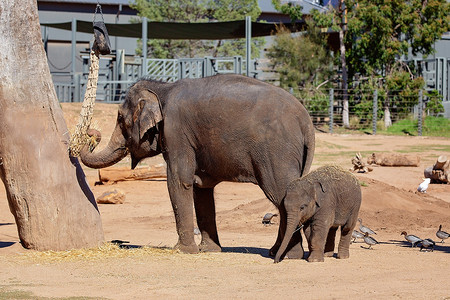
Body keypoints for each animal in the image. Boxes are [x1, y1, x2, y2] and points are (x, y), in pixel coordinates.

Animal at [80, 74, 312, 256]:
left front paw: (181, 250)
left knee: (280, 195)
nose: (91, 133)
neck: (163, 88)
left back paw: (289, 254)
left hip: (276, 153)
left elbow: (178, 181)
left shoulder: (176, 132)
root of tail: (307, 121)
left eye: (120, 118)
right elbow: (201, 188)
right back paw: (277, 251)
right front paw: (208, 250)